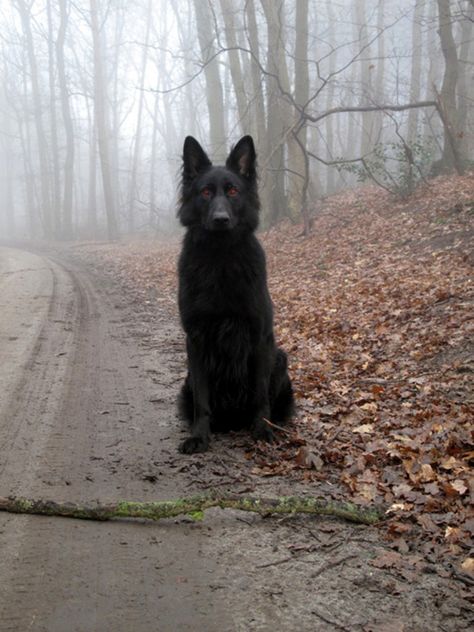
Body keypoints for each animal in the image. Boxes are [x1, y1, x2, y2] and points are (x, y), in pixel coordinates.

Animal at [177, 135, 292, 454]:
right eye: (205, 192)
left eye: (232, 191)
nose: (220, 219)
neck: (221, 258)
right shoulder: (196, 340)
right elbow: (202, 399)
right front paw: (199, 435)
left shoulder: (259, 337)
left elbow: (260, 394)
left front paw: (262, 430)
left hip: (280, 358)